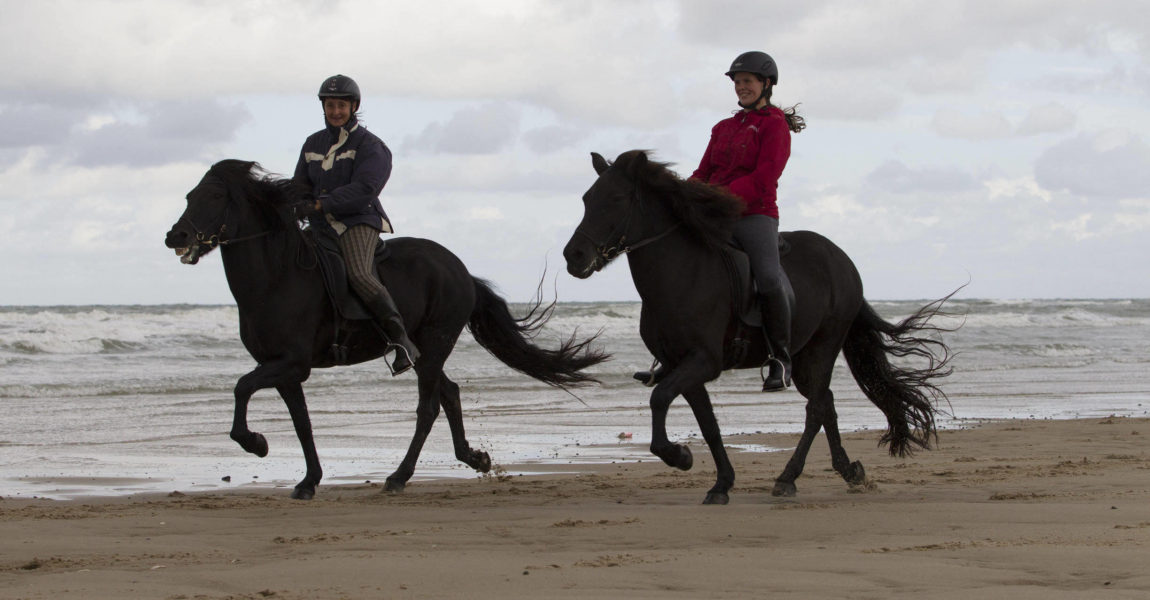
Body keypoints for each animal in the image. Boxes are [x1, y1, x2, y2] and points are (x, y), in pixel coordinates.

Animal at [167, 159, 611, 498]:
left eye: (214, 197)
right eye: (189, 196)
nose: (176, 235)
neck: (277, 276)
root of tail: (461, 270)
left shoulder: (291, 363)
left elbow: (241, 388)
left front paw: (256, 444)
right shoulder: (284, 370)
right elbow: (301, 422)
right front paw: (309, 481)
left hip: (434, 343)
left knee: (429, 407)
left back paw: (399, 476)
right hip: (421, 350)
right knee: (449, 394)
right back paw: (473, 458)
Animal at [561, 148, 956, 498]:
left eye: (615, 199)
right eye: (586, 198)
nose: (573, 256)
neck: (682, 274)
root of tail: (842, 261)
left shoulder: (703, 361)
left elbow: (659, 399)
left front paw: (680, 456)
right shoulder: (681, 365)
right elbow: (707, 424)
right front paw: (721, 484)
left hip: (824, 346)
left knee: (816, 409)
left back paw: (788, 478)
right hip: (805, 357)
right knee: (825, 404)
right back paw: (849, 471)